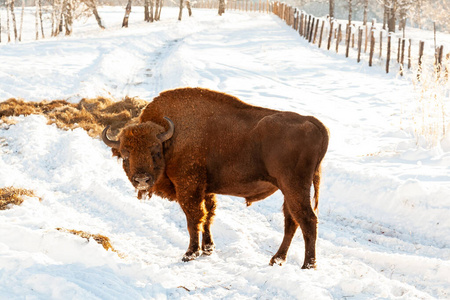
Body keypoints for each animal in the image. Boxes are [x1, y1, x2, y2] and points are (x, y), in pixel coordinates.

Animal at [103, 87, 328, 270]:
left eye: (155, 152)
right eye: (125, 155)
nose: (142, 179)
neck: (172, 139)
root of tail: (313, 122)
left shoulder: (188, 188)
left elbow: (194, 218)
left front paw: (190, 253)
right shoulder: (205, 189)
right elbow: (208, 215)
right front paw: (208, 248)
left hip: (294, 186)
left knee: (307, 220)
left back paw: (307, 266)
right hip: (289, 190)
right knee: (292, 221)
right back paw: (276, 260)